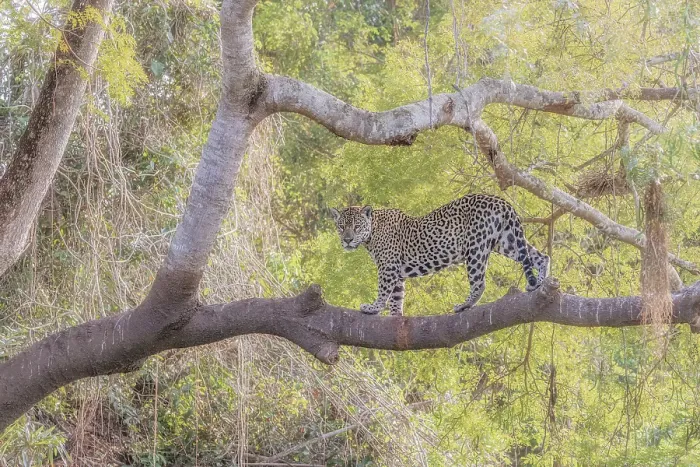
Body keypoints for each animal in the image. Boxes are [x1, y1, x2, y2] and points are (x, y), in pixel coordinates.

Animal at [330, 194, 550, 316]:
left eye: (356, 227)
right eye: (341, 227)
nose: (347, 240)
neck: (372, 232)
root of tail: (502, 201)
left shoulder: (388, 268)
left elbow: (384, 291)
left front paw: (373, 308)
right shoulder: (397, 272)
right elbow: (397, 297)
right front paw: (396, 316)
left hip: (476, 247)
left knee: (479, 283)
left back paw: (464, 305)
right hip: (507, 241)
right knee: (541, 257)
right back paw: (539, 283)